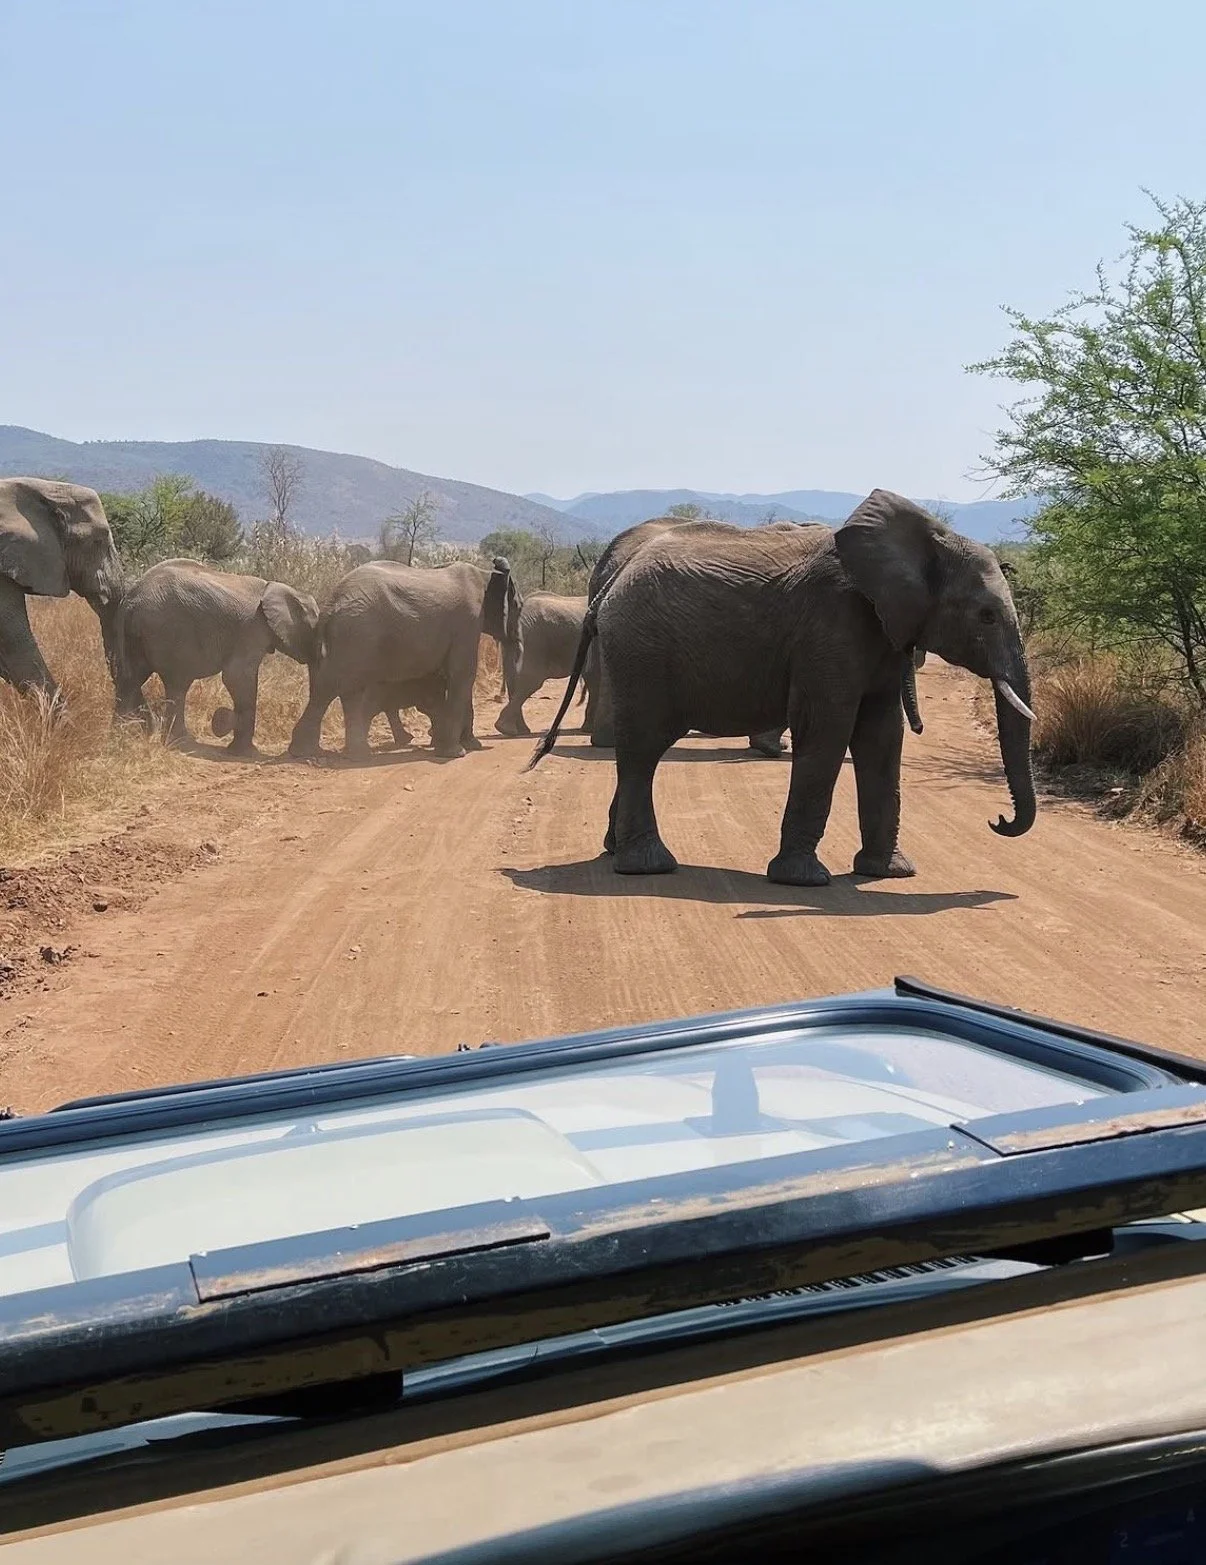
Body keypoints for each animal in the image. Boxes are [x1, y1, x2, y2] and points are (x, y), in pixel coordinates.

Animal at [114, 558, 320, 753]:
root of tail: (130, 600)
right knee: (177, 683)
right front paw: (244, 752)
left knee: (131, 679)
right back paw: (182, 742)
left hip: (136, 634)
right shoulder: (253, 628)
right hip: (168, 630)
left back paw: (121, 736)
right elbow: (236, 677)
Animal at [289, 556, 522, 761]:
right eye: (519, 607)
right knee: (332, 685)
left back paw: (356, 755)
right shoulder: (468, 620)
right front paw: (456, 753)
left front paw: (470, 746)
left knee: (348, 688)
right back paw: (304, 752)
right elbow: (463, 674)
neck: (486, 575)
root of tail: (330, 604)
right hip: (358, 632)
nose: (498, 697)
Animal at [495, 592, 594, 737]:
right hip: (534, 639)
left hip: (514, 644)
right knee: (532, 681)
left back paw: (517, 730)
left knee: (514, 682)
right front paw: (588, 730)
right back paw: (506, 729)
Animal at [529, 490, 1035, 885]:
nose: (998, 820)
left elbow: (881, 736)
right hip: (641, 649)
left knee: (643, 751)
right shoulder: (831, 627)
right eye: (986, 616)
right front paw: (804, 880)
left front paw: (890, 873)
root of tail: (609, 583)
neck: (927, 540)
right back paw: (649, 867)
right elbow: (828, 729)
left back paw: (617, 851)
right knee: (643, 747)